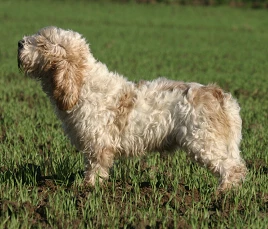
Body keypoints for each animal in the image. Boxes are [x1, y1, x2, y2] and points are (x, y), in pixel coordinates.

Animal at [17, 26, 247, 191]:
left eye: (41, 42)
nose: (19, 42)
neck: (83, 83)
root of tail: (221, 95)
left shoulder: (98, 144)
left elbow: (95, 166)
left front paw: (88, 188)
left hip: (204, 142)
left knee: (233, 168)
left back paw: (222, 193)